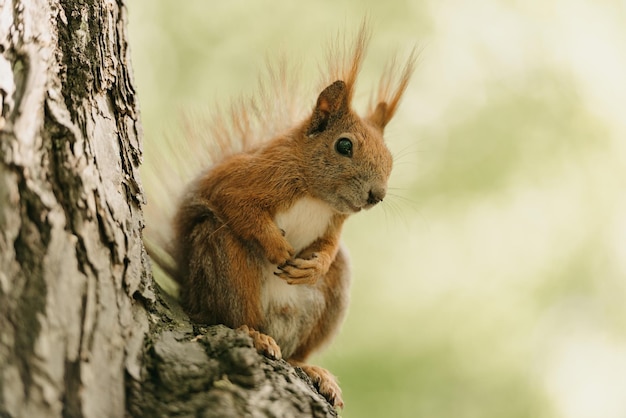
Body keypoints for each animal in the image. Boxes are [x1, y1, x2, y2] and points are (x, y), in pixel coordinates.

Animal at [147, 25, 414, 408]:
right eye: (344, 145)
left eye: (390, 157)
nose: (376, 195)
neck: (317, 194)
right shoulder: (249, 177)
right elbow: (235, 203)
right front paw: (277, 248)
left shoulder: (336, 221)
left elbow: (329, 244)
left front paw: (312, 266)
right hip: (222, 258)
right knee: (230, 313)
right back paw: (254, 334)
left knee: (295, 350)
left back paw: (311, 367)